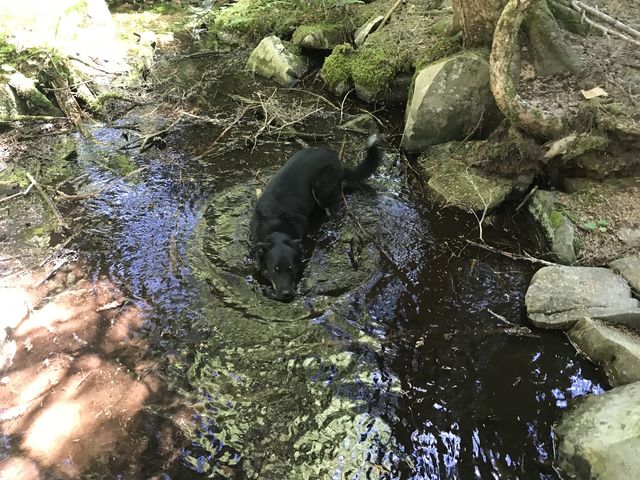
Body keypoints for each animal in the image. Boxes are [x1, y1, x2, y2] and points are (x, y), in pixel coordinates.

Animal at [250, 135, 380, 300]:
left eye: (291, 269)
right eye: (275, 270)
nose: (287, 295)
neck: (277, 227)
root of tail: (337, 160)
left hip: (321, 189)